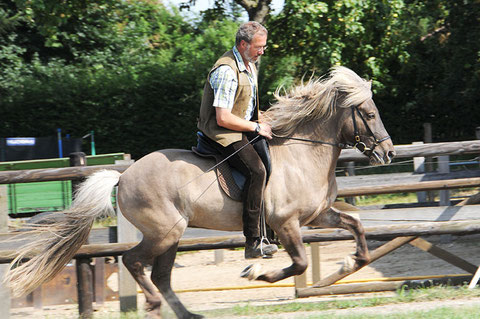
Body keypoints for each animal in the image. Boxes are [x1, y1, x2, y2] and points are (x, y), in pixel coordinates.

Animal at [4, 66, 394, 318]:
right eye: (369, 113)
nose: (388, 153)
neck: (304, 154)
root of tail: (123, 176)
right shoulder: (286, 223)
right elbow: (298, 263)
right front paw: (257, 272)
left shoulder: (316, 216)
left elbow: (357, 227)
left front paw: (348, 263)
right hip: (165, 231)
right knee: (134, 261)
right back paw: (155, 306)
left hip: (171, 235)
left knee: (159, 275)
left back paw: (186, 314)